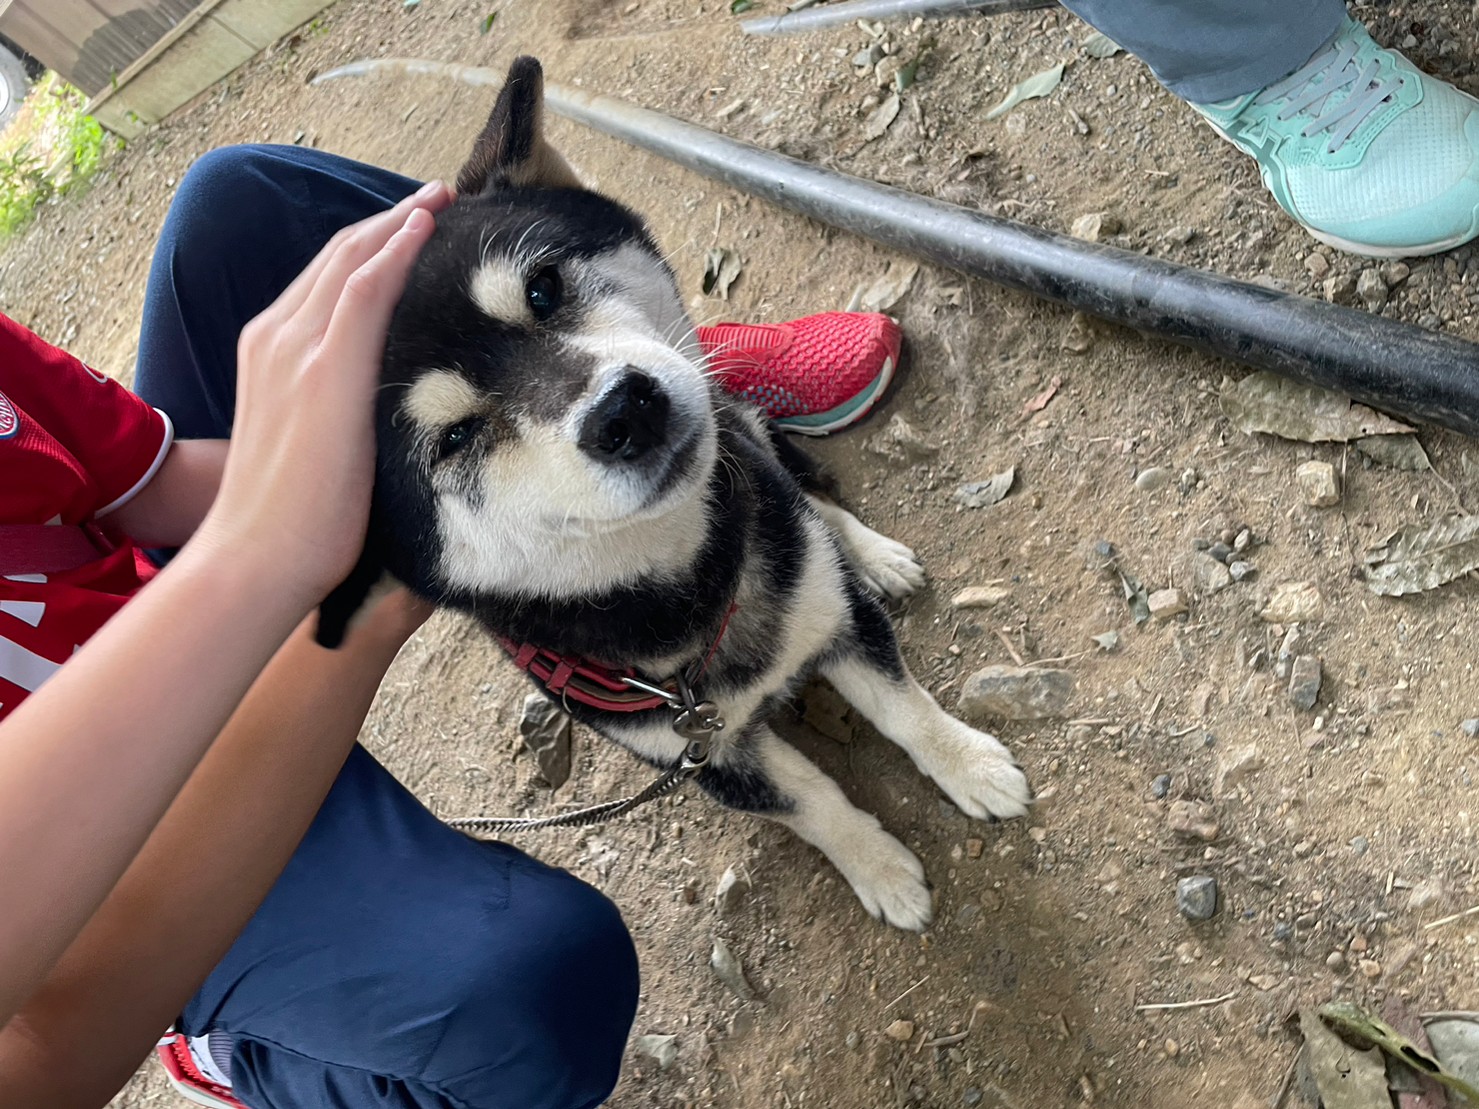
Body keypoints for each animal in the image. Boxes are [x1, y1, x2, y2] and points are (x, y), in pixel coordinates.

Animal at [323, 58, 1029, 928]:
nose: (623, 412)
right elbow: (812, 803)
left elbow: (903, 707)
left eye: (544, 288)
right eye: (455, 438)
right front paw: (881, 870)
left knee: (803, 493)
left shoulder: (835, 616)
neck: (697, 592)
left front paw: (967, 764)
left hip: (747, 428)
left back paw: (869, 553)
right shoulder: (695, 752)